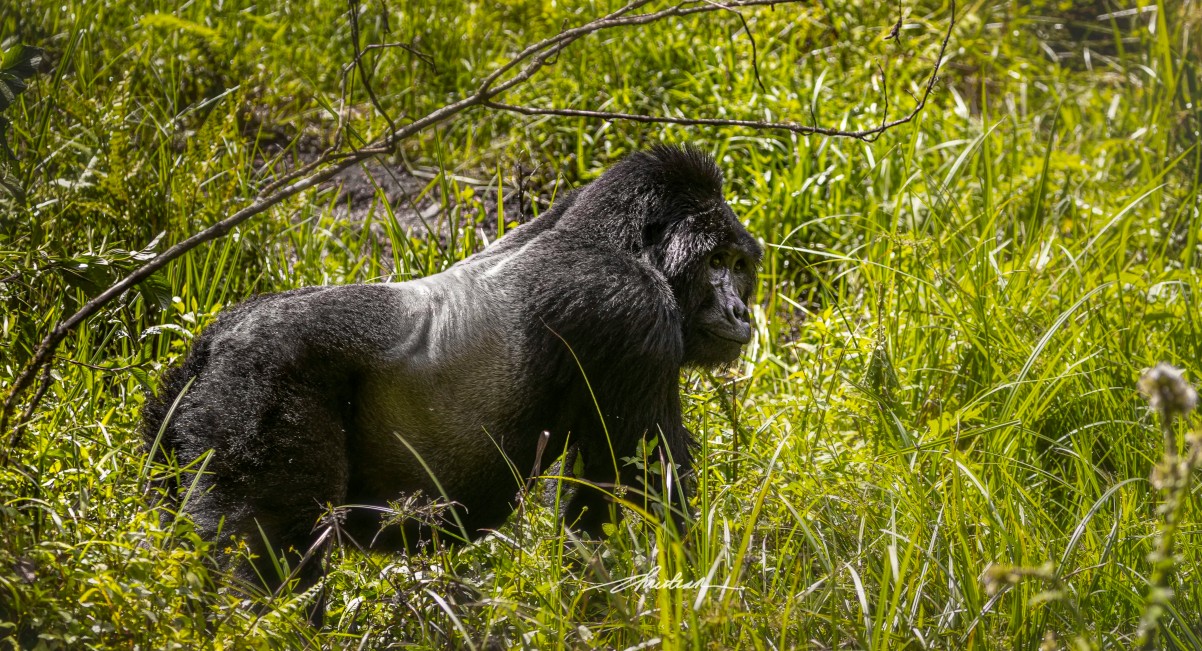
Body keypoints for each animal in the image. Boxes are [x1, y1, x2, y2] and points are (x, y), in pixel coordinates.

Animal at [142, 144, 761, 616]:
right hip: (258, 384)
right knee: (265, 559)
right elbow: (644, 498)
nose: (741, 313)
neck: (612, 238)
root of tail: (213, 347)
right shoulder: (635, 310)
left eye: (740, 266)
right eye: (715, 262)